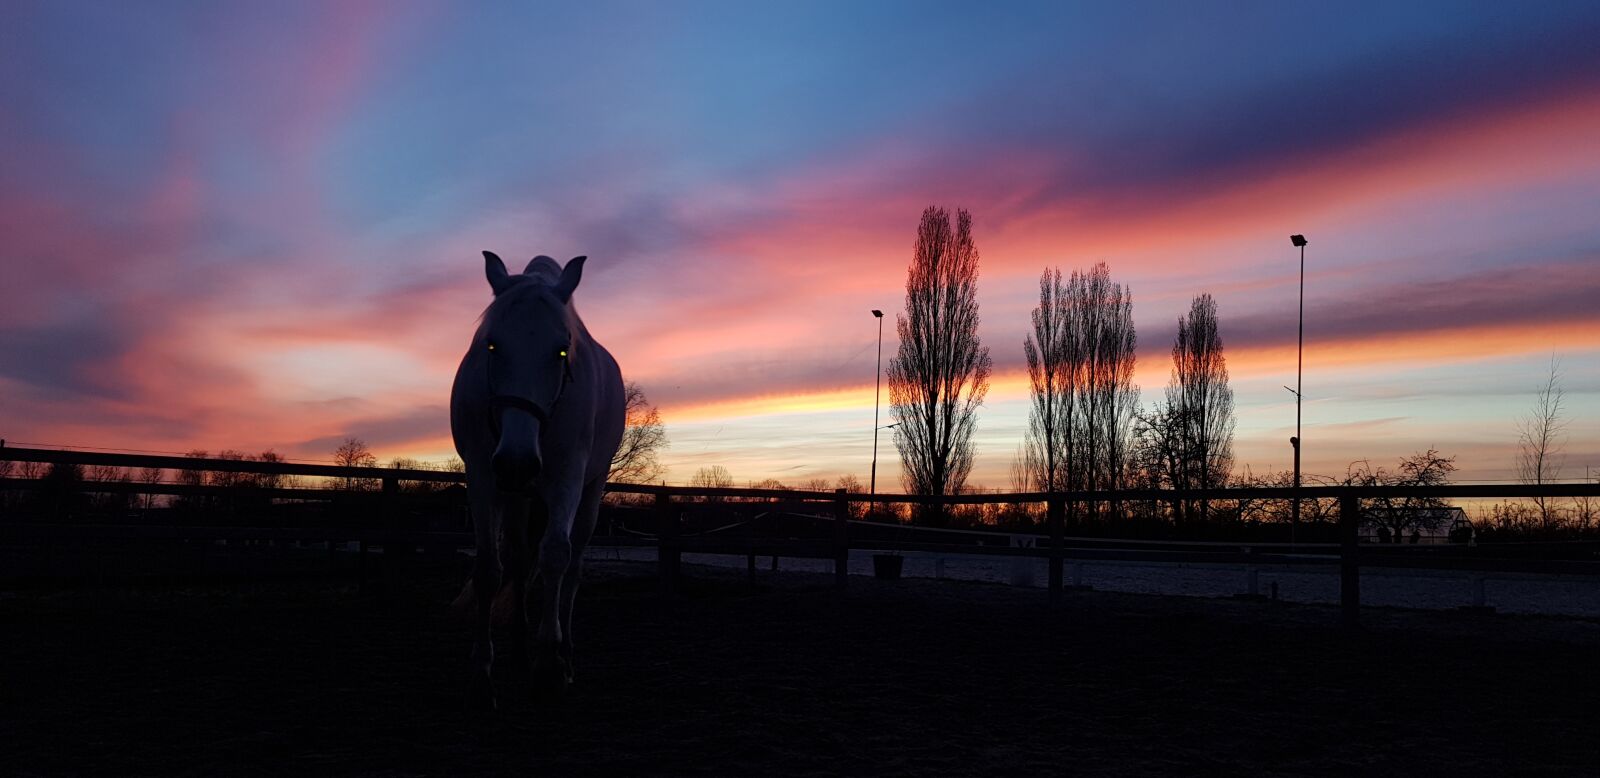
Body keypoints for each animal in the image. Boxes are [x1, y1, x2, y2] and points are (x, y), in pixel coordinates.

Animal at [450, 250, 625, 709]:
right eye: (492, 345)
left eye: (561, 350)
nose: (517, 461)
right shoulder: (483, 476)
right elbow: (490, 569)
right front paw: (482, 674)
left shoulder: (567, 478)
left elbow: (555, 558)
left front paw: (548, 669)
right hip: (518, 495)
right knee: (518, 559)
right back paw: (519, 648)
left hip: (589, 491)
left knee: (573, 565)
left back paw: (565, 652)